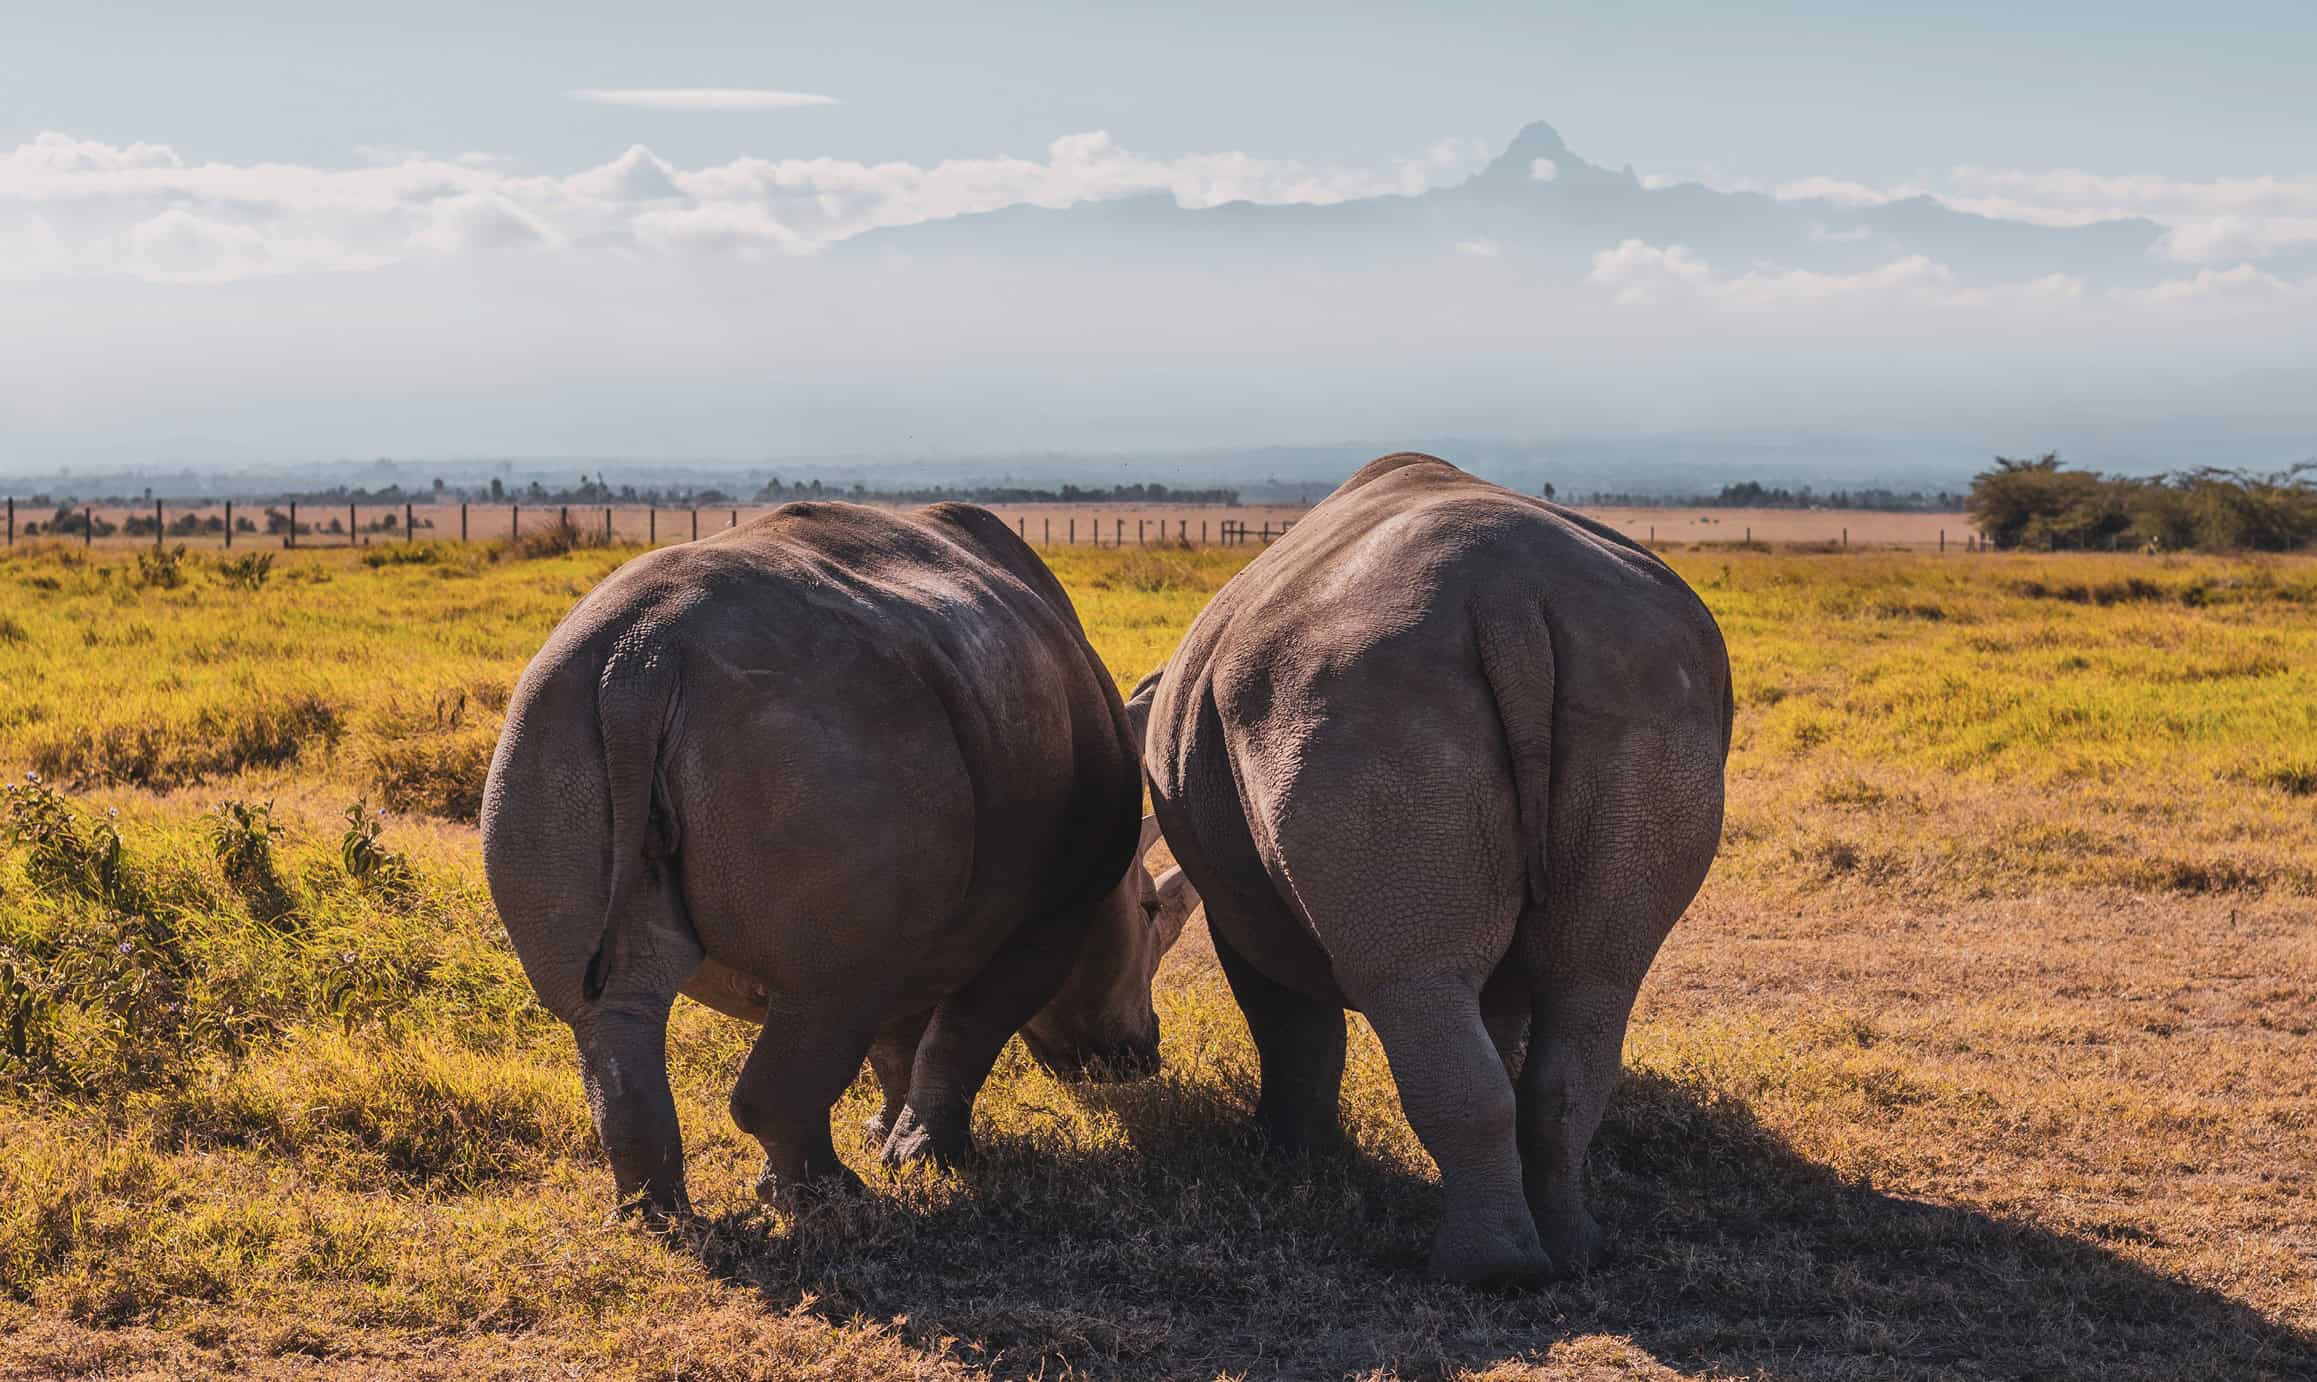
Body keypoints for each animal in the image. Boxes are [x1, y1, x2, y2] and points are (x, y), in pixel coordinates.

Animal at [482, 501, 1185, 1217]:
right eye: (1150, 911)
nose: (1141, 1054)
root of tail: (641, 663)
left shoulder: (923, 923)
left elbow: (899, 1038)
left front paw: (889, 1136)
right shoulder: (1052, 909)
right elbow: (966, 1028)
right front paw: (936, 1160)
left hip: (549, 727)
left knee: (616, 1009)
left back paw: (657, 1218)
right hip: (817, 743)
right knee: (824, 994)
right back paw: (830, 1198)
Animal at [1133, 454, 1733, 1286]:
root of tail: (1508, 598)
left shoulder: (1238, 905)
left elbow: (1286, 1019)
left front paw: (1290, 1158)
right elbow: (1502, 1011)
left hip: (1346, 697)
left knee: (1412, 978)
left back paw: (1482, 1272)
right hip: (1640, 692)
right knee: (1592, 979)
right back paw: (1567, 1254)